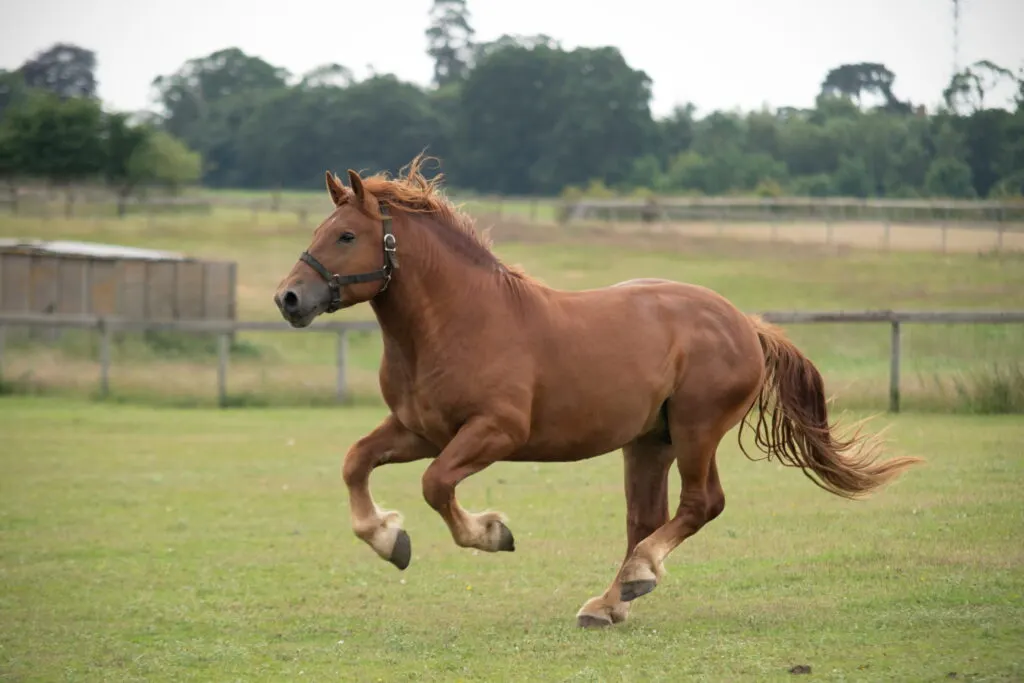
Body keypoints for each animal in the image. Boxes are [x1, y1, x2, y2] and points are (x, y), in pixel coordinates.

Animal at [270, 157, 921, 626]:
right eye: (322, 232)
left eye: (346, 236)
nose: (289, 299)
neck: (457, 321)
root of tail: (743, 322)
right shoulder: (418, 430)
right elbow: (355, 462)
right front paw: (388, 539)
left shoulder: (493, 433)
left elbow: (435, 486)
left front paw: (490, 533)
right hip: (650, 442)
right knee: (646, 518)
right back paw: (611, 603)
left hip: (696, 429)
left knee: (700, 505)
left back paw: (637, 578)